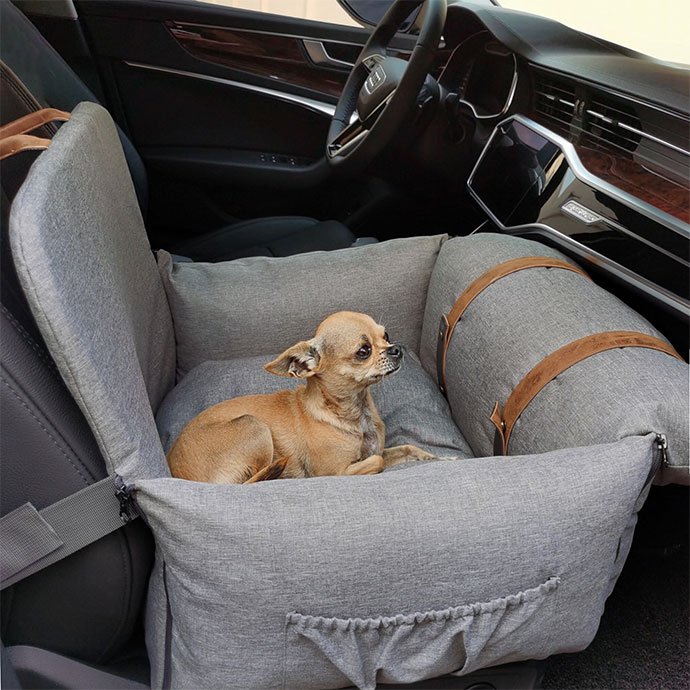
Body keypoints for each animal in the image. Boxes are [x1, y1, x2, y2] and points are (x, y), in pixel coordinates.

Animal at [165, 312, 430, 484]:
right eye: (363, 351)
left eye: (386, 335)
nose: (396, 349)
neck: (354, 412)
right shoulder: (336, 473)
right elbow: (377, 460)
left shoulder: (383, 449)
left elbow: (406, 448)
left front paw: (435, 457)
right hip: (253, 425)